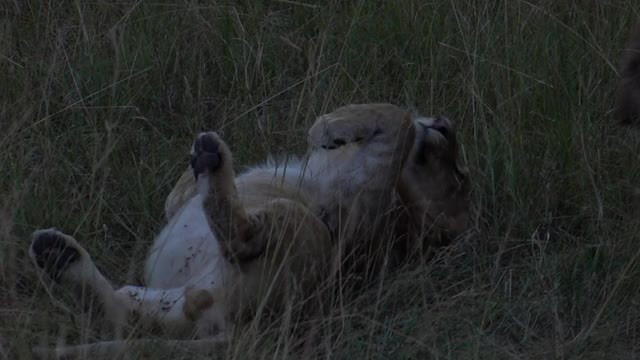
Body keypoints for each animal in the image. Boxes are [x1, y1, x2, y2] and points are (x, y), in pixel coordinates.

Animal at [27, 103, 468, 358]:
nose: (446, 123)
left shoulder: (358, 203)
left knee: (244, 237)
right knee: (123, 311)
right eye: (458, 172)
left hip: (298, 225)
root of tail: (243, 328)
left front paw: (327, 126)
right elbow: (174, 198)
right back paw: (58, 254)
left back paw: (212, 158)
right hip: (170, 300)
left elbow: (397, 118)